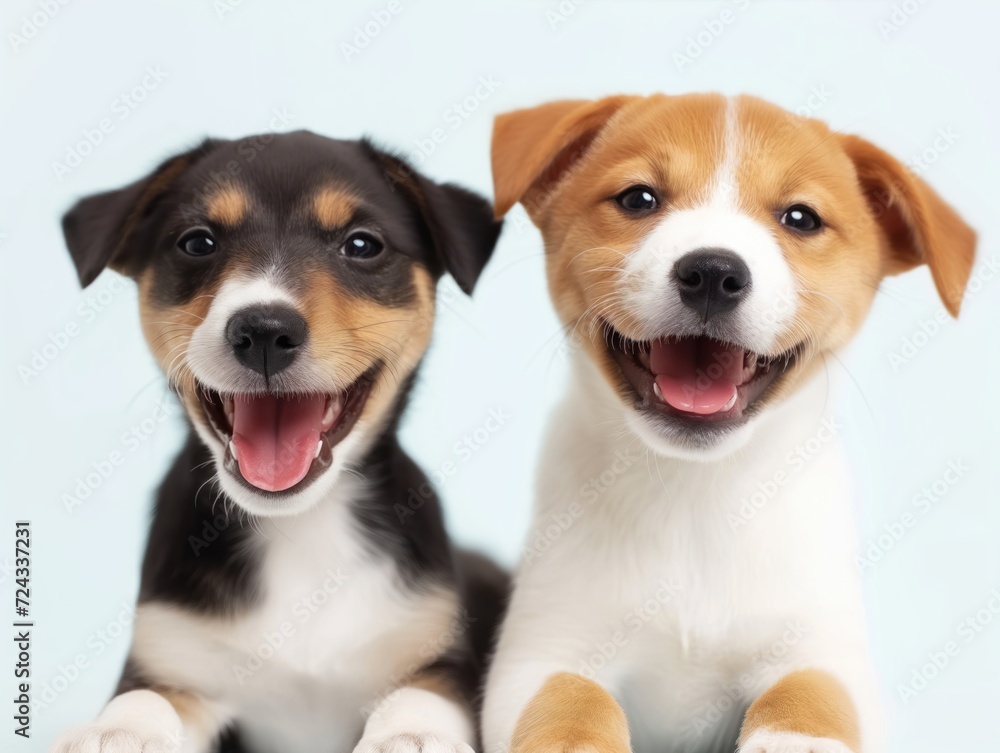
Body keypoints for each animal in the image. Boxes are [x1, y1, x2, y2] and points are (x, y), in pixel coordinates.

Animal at [52, 132, 508, 752]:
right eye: (198, 242)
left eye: (362, 245)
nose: (264, 331)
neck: (301, 526)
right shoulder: (173, 659)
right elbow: (145, 697)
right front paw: (117, 731)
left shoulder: (439, 657)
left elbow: (421, 695)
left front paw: (411, 736)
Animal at [484, 95, 976, 752]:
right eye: (639, 199)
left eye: (801, 218)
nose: (714, 272)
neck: (695, 491)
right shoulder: (540, 650)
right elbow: (570, 701)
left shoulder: (826, 649)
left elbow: (811, 695)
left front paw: (799, 742)